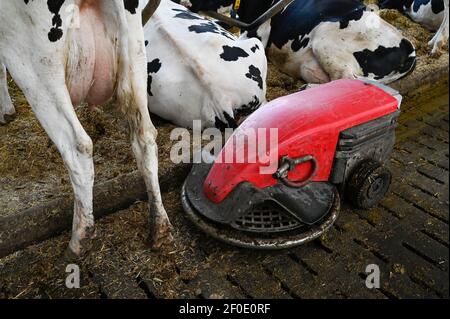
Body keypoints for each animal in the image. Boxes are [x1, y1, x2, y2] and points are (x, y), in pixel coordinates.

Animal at [0, 0, 172, 255]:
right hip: (134, 49)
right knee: (145, 136)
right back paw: (159, 227)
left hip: (33, 59)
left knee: (78, 144)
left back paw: (79, 239)